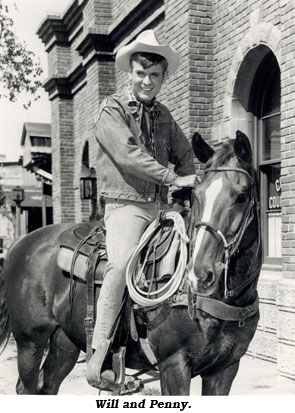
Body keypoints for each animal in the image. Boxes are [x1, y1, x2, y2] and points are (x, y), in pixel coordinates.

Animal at [0, 130, 264, 394]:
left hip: (64, 342)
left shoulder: (225, 369)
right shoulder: (174, 365)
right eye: (196, 195)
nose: (198, 274)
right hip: (30, 342)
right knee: (26, 386)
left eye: (242, 197)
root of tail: (19, 244)